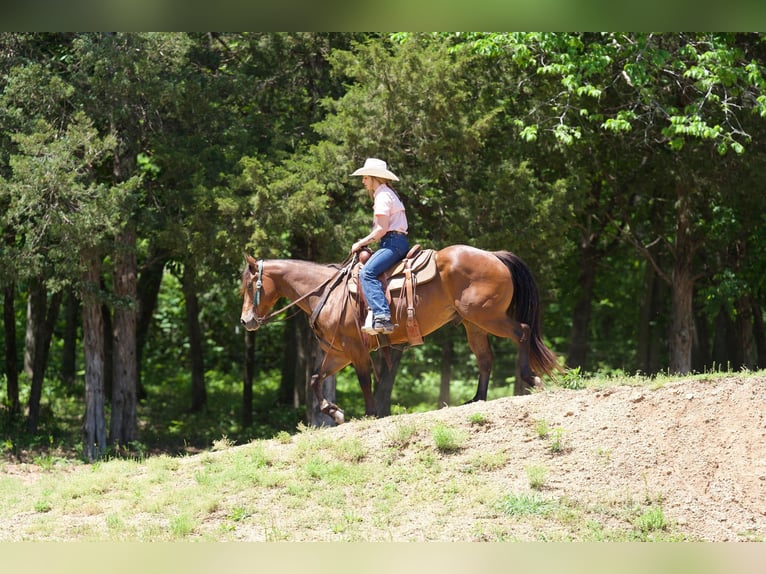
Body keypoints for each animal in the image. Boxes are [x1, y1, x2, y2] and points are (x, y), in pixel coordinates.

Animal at [243, 245, 560, 426]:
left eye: (248, 285)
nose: (246, 321)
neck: (326, 292)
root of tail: (494, 256)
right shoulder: (338, 352)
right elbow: (314, 379)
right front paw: (333, 411)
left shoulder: (355, 348)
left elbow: (364, 380)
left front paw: (370, 413)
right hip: (474, 323)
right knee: (485, 358)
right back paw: (477, 398)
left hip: (487, 316)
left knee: (522, 332)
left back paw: (530, 378)